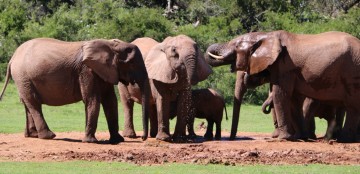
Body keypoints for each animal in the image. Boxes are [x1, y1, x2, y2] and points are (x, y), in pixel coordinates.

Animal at [0, 38, 149, 144]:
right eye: (132, 63)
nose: (142, 138)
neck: (111, 45)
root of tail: (12, 58)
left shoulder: (104, 71)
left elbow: (110, 101)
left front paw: (117, 140)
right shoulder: (87, 70)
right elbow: (92, 100)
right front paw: (90, 142)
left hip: (23, 79)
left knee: (27, 103)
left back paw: (33, 135)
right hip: (23, 76)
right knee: (34, 103)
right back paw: (49, 136)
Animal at [205, 30, 360, 143]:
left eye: (236, 45)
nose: (232, 139)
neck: (267, 35)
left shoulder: (284, 67)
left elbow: (280, 94)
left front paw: (283, 138)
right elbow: (294, 100)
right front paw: (300, 137)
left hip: (352, 70)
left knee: (352, 106)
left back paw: (344, 140)